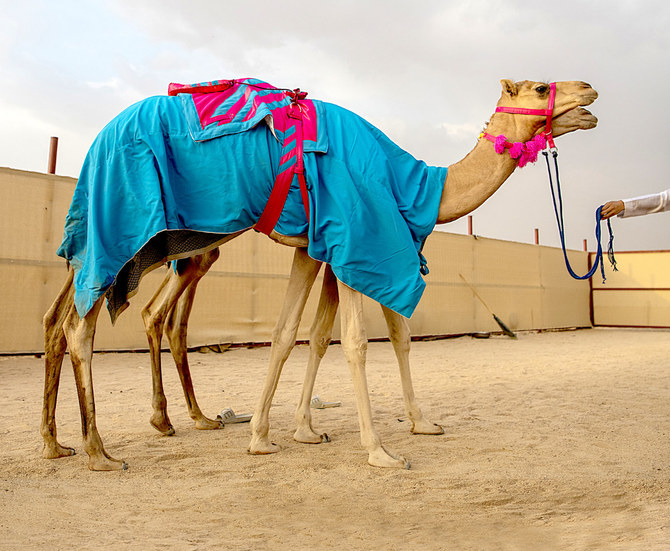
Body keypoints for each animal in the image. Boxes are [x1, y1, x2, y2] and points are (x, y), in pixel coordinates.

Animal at [40, 80, 600, 472]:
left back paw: (62, 442)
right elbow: (354, 340)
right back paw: (101, 452)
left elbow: (302, 333)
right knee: (83, 323)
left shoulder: (318, 249)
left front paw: (280, 434)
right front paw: (378, 450)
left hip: (144, 240)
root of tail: (94, 143)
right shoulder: (359, 236)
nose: (590, 92)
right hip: (130, 225)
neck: (419, 185)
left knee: (68, 316)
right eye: (541, 87)